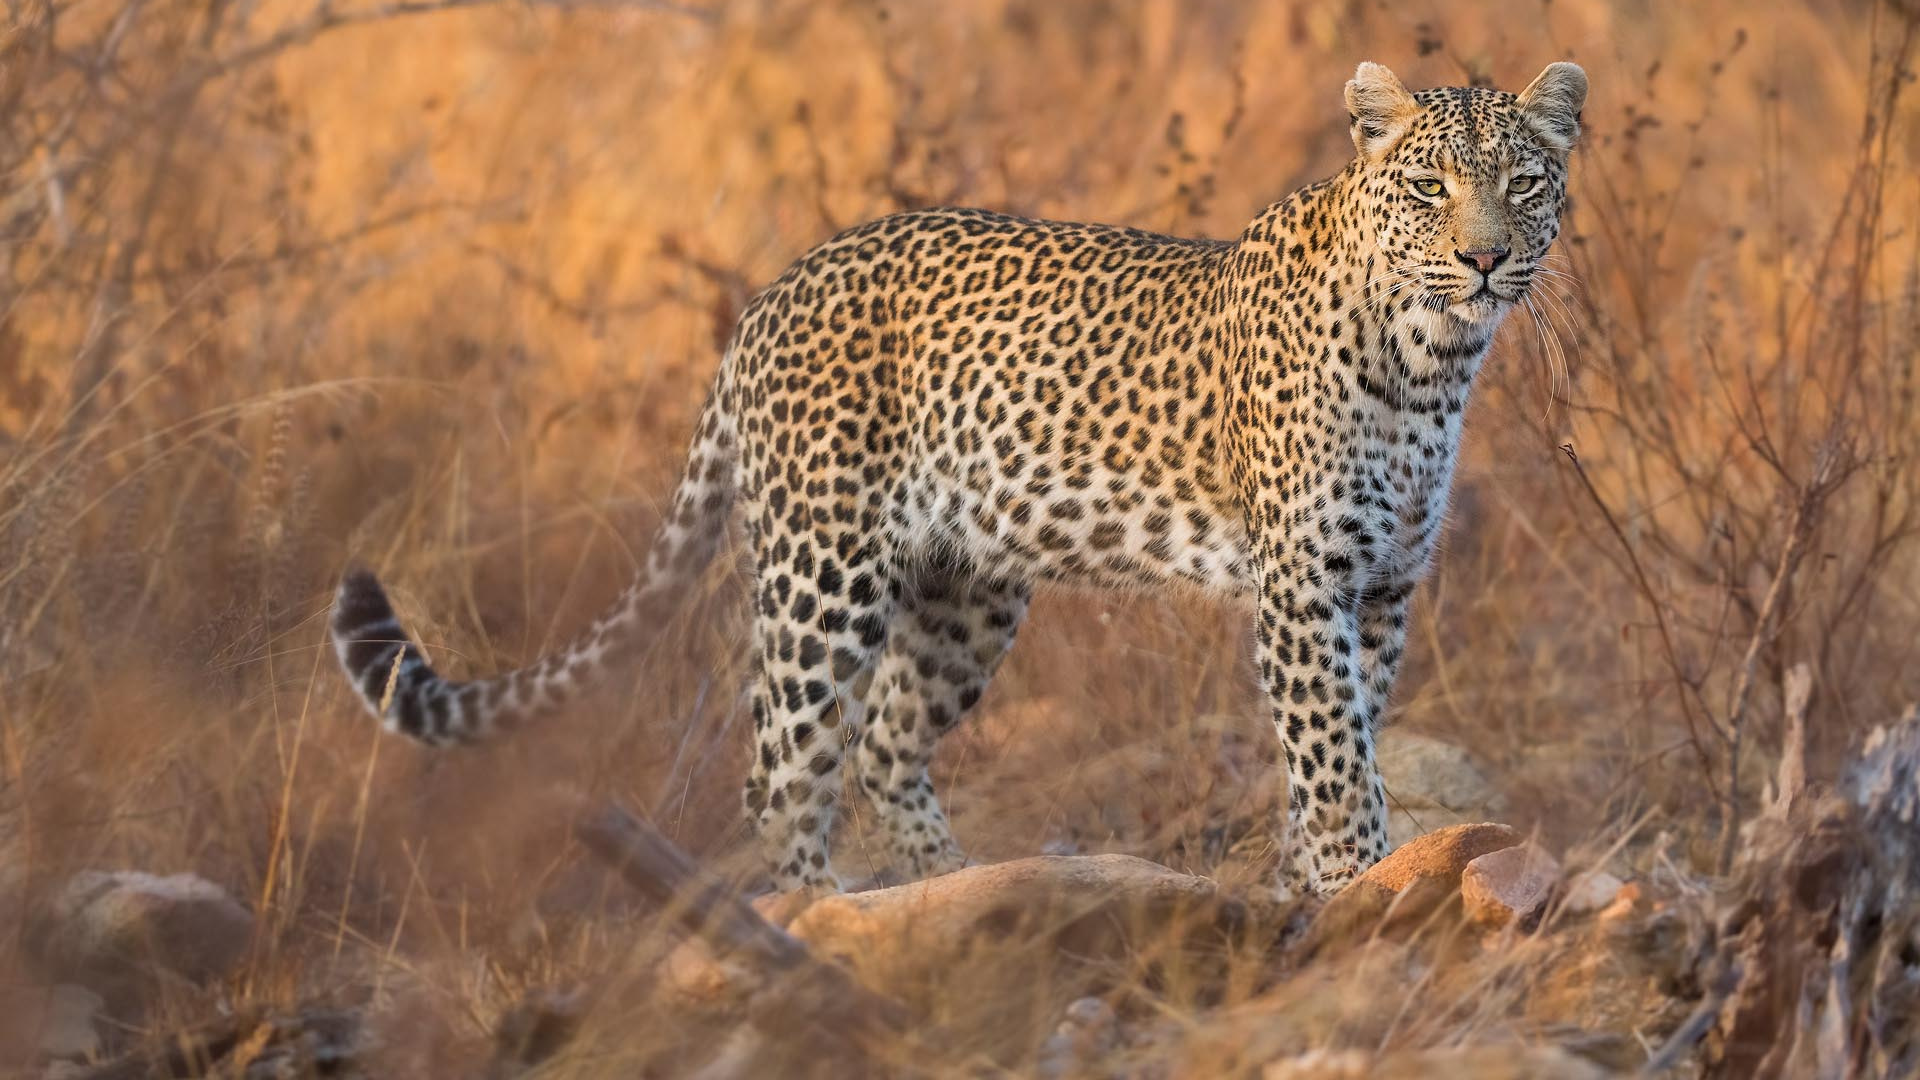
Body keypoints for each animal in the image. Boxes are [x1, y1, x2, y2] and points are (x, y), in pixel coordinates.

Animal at [330, 62, 1589, 895]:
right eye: (1428, 188)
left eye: (1525, 183)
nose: (1483, 256)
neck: (1431, 362)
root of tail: (771, 293)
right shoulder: (1306, 585)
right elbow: (1332, 759)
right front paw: (1360, 884)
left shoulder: (1384, 590)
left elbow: (1351, 739)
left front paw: (1312, 885)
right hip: (823, 572)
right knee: (782, 769)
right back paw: (817, 926)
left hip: (965, 590)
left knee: (887, 743)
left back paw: (958, 885)